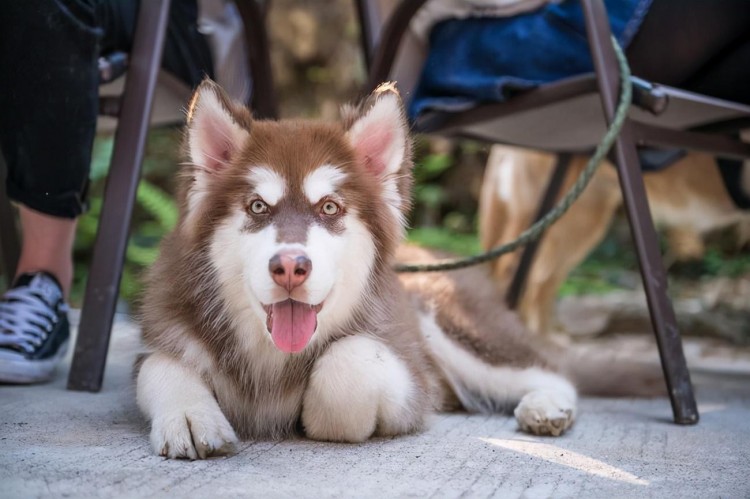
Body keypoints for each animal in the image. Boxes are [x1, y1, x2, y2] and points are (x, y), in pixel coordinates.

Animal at [138, 81, 660, 460]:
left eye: (330, 207)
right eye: (257, 207)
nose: (290, 268)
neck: (271, 356)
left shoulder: (408, 372)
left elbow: (346, 366)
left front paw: (315, 413)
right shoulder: (163, 329)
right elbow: (160, 365)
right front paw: (191, 414)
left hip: (449, 321)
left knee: (549, 370)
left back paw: (546, 406)